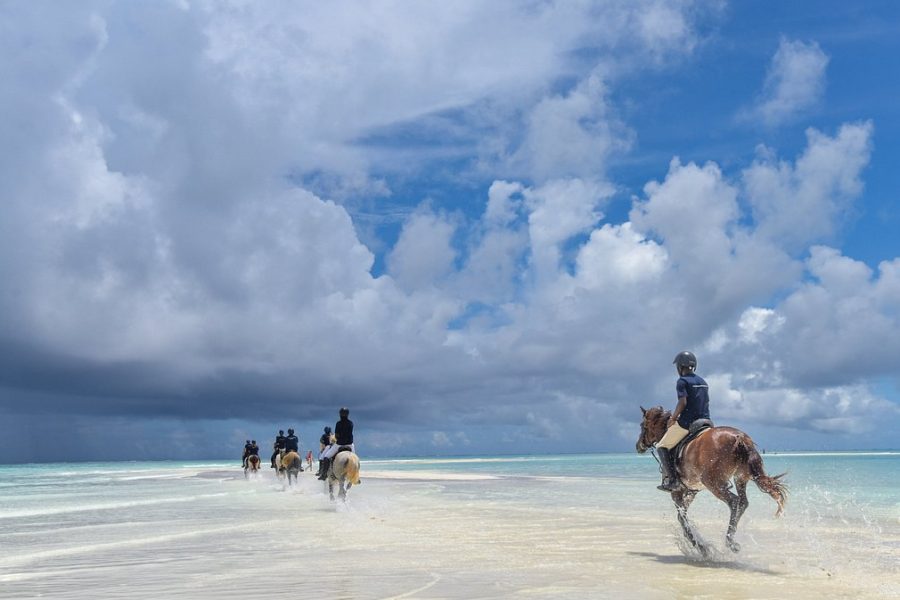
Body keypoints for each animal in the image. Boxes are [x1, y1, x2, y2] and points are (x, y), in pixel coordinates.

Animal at [636, 406, 787, 556]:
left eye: (643, 425)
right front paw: (698, 544)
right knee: (743, 502)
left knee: (734, 502)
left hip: (713, 484)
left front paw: (700, 547)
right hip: (740, 477)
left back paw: (730, 542)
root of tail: (740, 437)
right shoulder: (691, 490)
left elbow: (682, 518)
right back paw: (731, 539)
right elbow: (682, 516)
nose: (638, 446)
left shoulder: (676, 491)